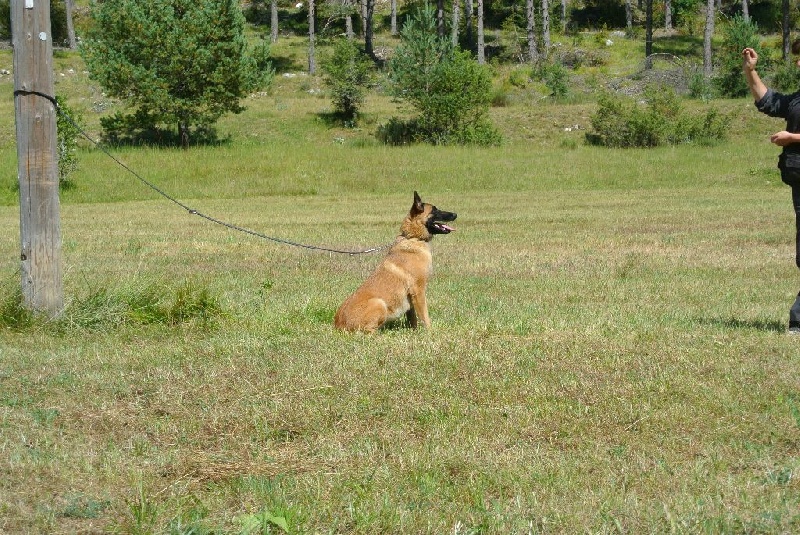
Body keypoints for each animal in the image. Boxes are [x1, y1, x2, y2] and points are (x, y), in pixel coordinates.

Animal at [332, 193, 456, 332]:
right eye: (435, 210)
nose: (455, 214)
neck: (413, 237)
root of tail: (338, 324)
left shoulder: (411, 299)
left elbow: (413, 318)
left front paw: (414, 332)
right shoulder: (418, 291)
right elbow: (425, 316)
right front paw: (430, 332)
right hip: (380, 304)